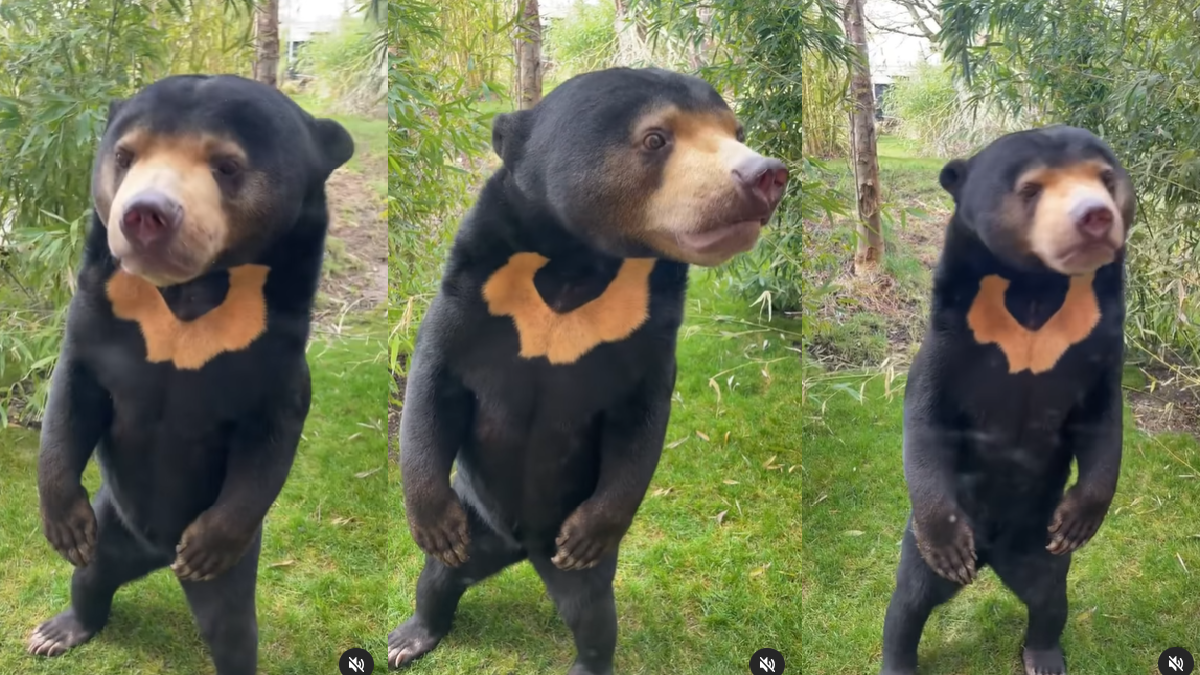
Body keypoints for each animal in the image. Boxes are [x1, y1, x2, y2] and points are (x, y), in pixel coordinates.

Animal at [27, 74, 353, 675]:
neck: (185, 296)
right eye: (124, 157)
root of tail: (152, 554)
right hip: (111, 523)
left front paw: (206, 545)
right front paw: (62, 524)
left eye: (226, 165)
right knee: (89, 577)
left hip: (232, 573)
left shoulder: (276, 354)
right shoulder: (94, 319)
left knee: (232, 631)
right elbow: (70, 397)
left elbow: (273, 437)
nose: (144, 215)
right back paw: (59, 630)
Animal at [391, 66, 789, 673]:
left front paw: (591, 531)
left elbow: (642, 419)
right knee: (438, 579)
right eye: (656, 138)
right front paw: (433, 524)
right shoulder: (470, 295)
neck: (579, 263)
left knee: (594, 614)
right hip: (476, 520)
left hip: (578, 569)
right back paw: (412, 636)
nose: (767, 174)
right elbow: (433, 385)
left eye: (737, 130)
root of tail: (519, 547)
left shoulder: (647, 333)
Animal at [879, 125, 1135, 675]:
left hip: (1039, 548)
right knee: (909, 601)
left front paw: (1080, 519)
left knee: (1049, 598)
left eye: (1107, 179)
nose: (1096, 217)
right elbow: (926, 419)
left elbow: (1103, 420)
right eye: (1031, 189)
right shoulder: (950, 339)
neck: (1036, 290)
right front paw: (947, 539)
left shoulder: (1100, 344)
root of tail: (995, 556)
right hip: (925, 549)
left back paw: (1044, 655)